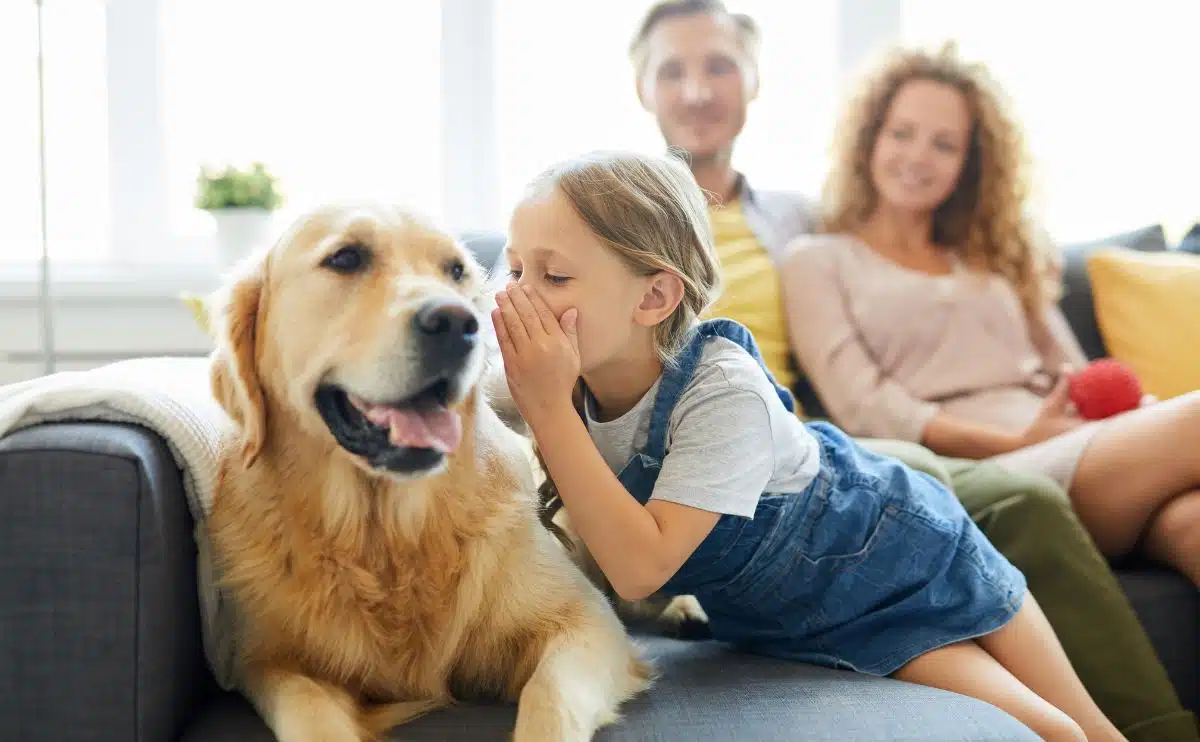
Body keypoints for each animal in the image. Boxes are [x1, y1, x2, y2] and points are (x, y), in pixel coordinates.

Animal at [210, 204, 652, 739]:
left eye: (456, 271)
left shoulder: (586, 620)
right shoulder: (268, 661)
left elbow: (548, 696)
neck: (388, 535)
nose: (457, 323)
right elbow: (309, 712)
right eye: (346, 257)